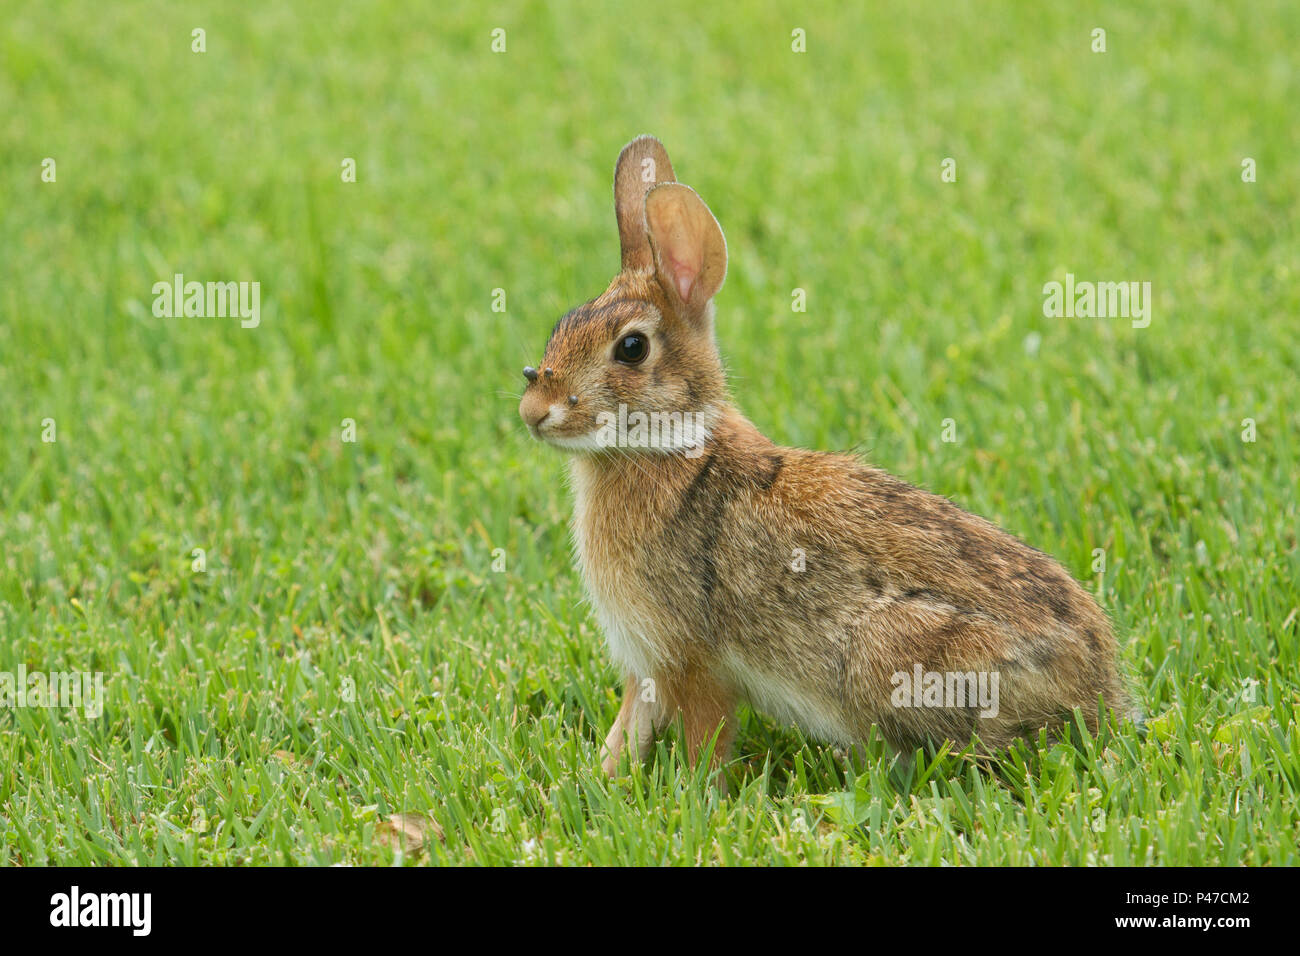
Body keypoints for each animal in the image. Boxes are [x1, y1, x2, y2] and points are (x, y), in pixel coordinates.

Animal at [519, 135, 1137, 777]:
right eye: (562, 326)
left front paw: (695, 791)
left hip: (888, 656)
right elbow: (630, 729)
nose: (533, 410)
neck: (671, 446)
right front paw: (603, 776)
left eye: (632, 348)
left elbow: (705, 739)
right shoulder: (647, 664)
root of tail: (1099, 688)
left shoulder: (693, 662)